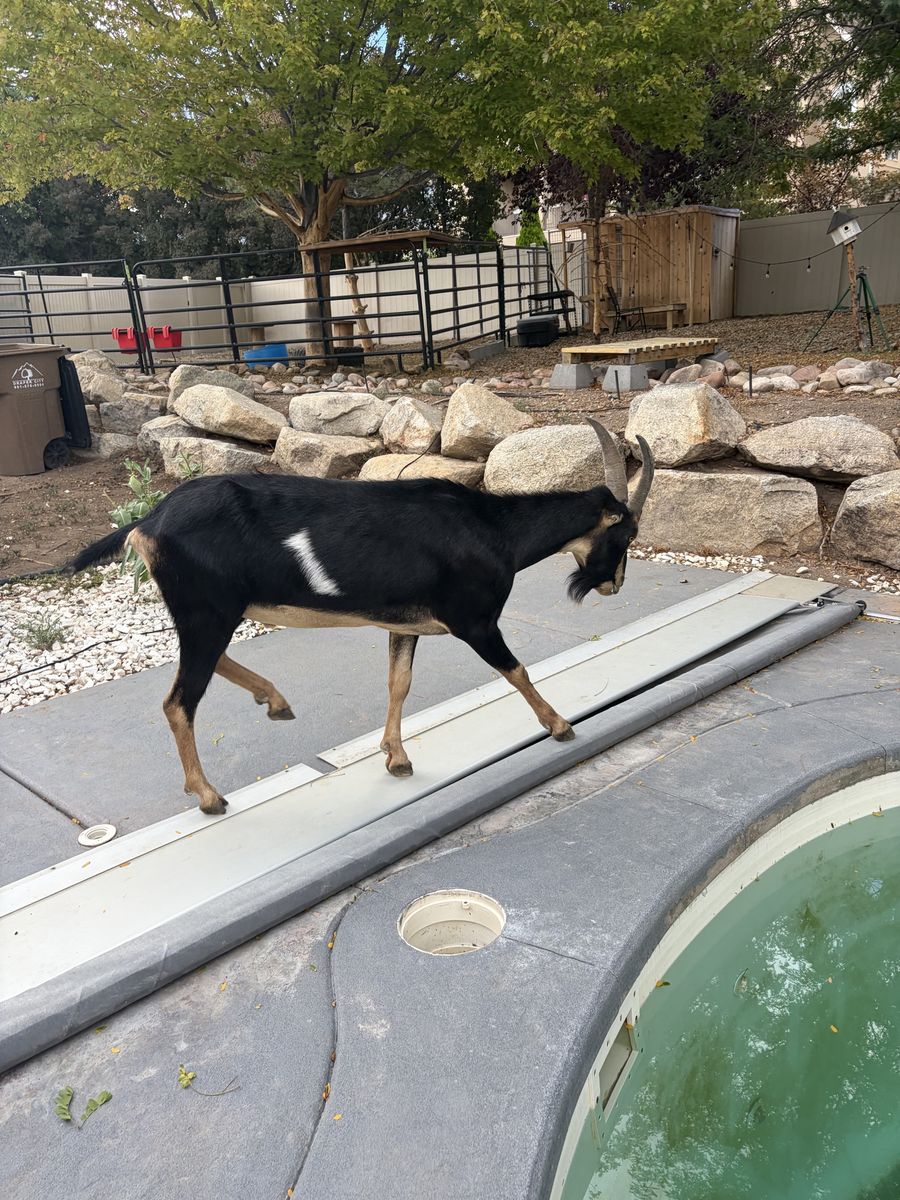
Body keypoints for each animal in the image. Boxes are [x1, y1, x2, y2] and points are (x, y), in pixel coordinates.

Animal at [68, 420, 654, 815]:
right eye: (626, 534)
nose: (614, 584)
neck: (494, 530)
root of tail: (147, 522)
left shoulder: (403, 624)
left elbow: (399, 682)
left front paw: (396, 759)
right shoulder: (475, 621)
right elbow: (516, 670)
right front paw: (560, 725)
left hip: (210, 612)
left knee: (208, 667)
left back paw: (275, 702)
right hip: (207, 609)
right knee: (179, 700)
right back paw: (210, 795)